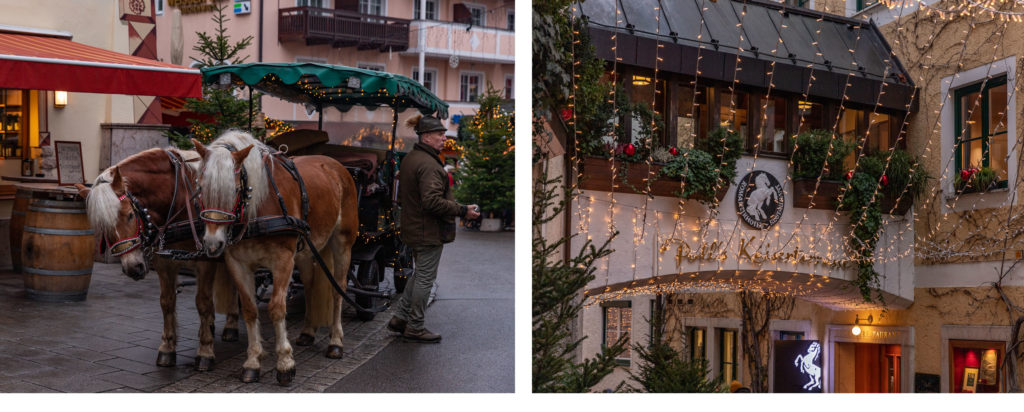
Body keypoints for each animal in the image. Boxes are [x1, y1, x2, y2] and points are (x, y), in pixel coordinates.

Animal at [76, 147, 239, 371]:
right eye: (102, 226)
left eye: (129, 215)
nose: (133, 268)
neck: (181, 199)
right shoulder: (164, 262)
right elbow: (167, 302)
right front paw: (167, 348)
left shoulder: (206, 259)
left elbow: (203, 302)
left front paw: (205, 351)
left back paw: (231, 325)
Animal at [193, 130, 358, 385]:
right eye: (200, 187)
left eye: (235, 190)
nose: (212, 243)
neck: (258, 208)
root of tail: (334, 164)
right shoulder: (238, 264)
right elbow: (250, 309)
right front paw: (252, 362)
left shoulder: (282, 261)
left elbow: (277, 308)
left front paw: (285, 363)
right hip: (306, 250)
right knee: (310, 285)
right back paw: (308, 331)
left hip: (342, 243)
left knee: (337, 289)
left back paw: (335, 342)